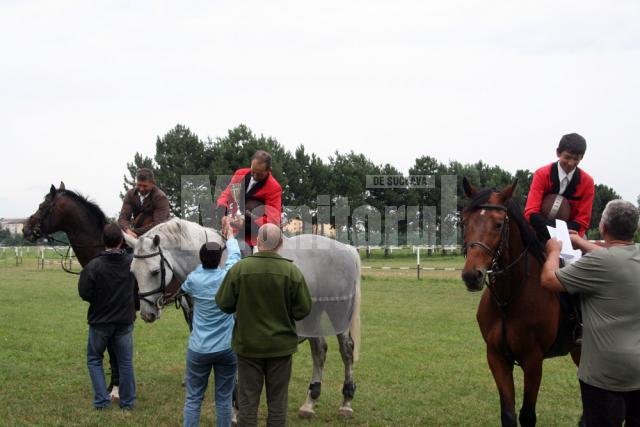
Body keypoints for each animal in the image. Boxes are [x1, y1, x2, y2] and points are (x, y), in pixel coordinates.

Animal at [125, 219, 362, 420]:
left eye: (155, 272)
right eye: (133, 272)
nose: (147, 313)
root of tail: (346, 249)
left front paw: (235, 410)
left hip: (337, 314)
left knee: (346, 351)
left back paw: (346, 402)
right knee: (319, 351)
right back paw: (309, 403)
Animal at [460, 179, 580, 426]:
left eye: (498, 224)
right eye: (465, 222)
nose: (471, 275)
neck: (508, 299)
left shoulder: (533, 361)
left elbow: (527, 415)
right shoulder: (497, 357)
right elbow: (508, 414)